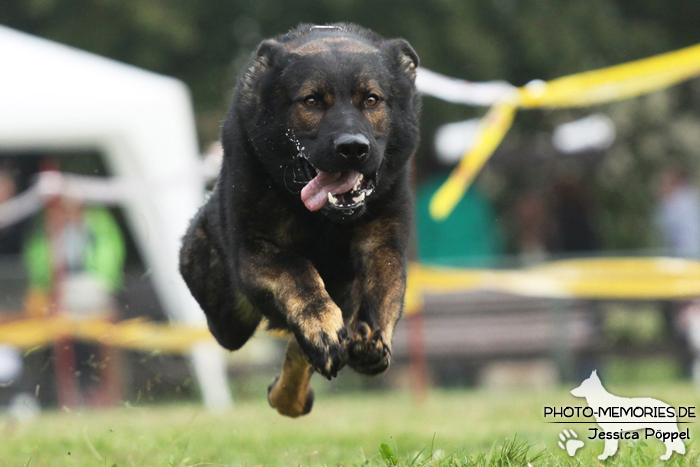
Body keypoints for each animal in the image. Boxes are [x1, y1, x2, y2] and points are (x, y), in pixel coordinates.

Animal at [180, 22, 422, 416]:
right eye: (311, 101)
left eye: (371, 100)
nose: (352, 148)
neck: (324, 220)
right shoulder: (253, 251)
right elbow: (296, 272)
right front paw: (320, 327)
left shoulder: (383, 241)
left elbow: (384, 284)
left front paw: (369, 338)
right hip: (226, 313)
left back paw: (293, 392)